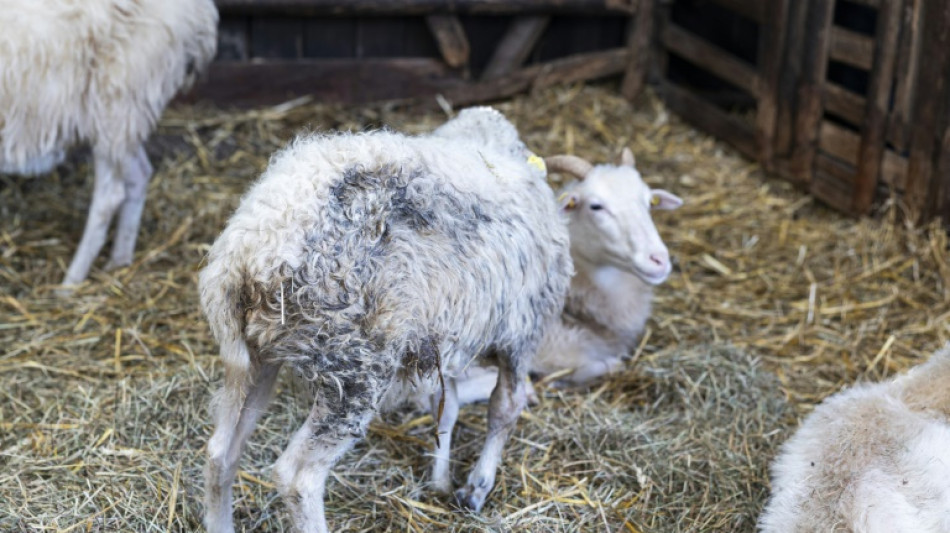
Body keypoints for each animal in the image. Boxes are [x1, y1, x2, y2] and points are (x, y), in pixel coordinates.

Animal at [0, 0, 218, 288]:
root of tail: (198, 11)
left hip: (114, 96)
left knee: (110, 196)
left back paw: (71, 281)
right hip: (126, 110)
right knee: (139, 174)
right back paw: (119, 260)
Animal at [199, 108, 572, 532]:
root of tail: (245, 254)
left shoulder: (444, 333)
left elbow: (447, 407)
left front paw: (440, 481)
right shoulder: (521, 332)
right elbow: (505, 409)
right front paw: (476, 487)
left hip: (255, 358)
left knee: (220, 451)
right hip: (354, 366)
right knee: (297, 477)